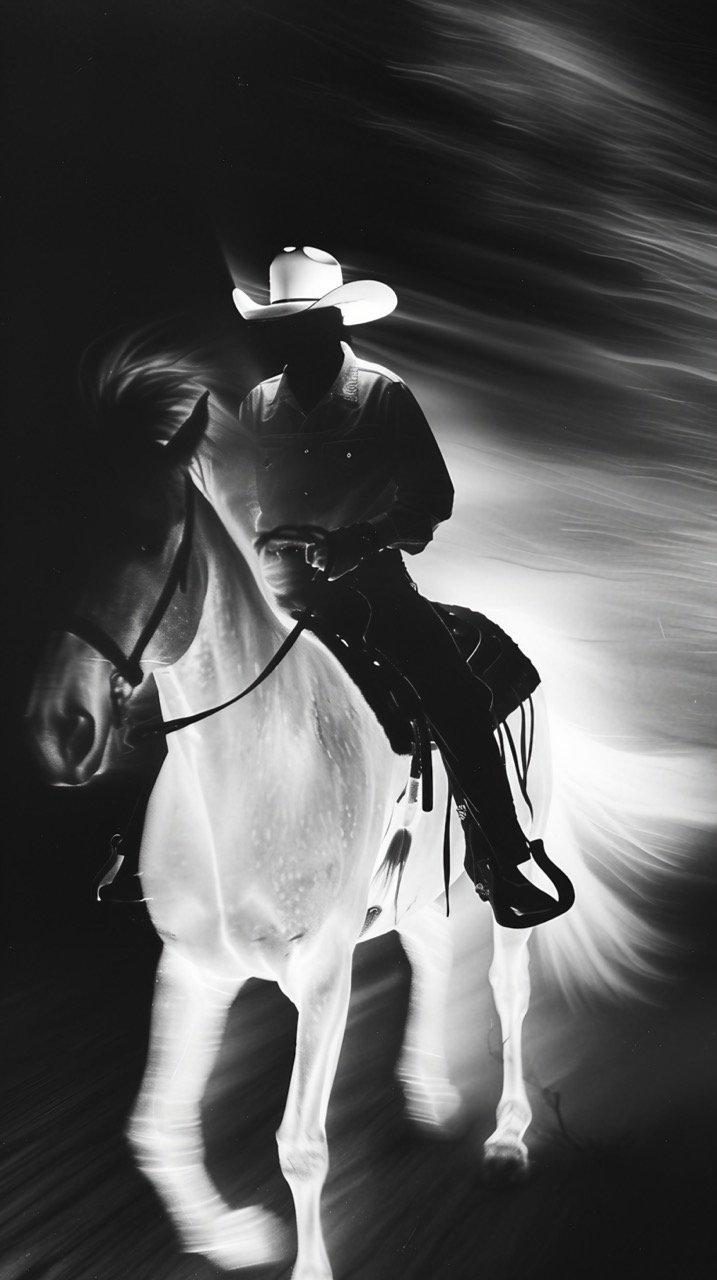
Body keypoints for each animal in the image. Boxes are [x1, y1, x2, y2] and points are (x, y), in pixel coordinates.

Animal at [26, 394, 555, 1274]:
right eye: (56, 533)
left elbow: (301, 1148)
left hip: (506, 885)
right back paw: (429, 1094)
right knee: (432, 955)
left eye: (146, 537)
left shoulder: (320, 974)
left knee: (508, 994)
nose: (57, 729)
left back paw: (506, 1140)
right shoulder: (194, 969)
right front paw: (235, 1236)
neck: (252, 767)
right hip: (412, 889)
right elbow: (155, 1129)